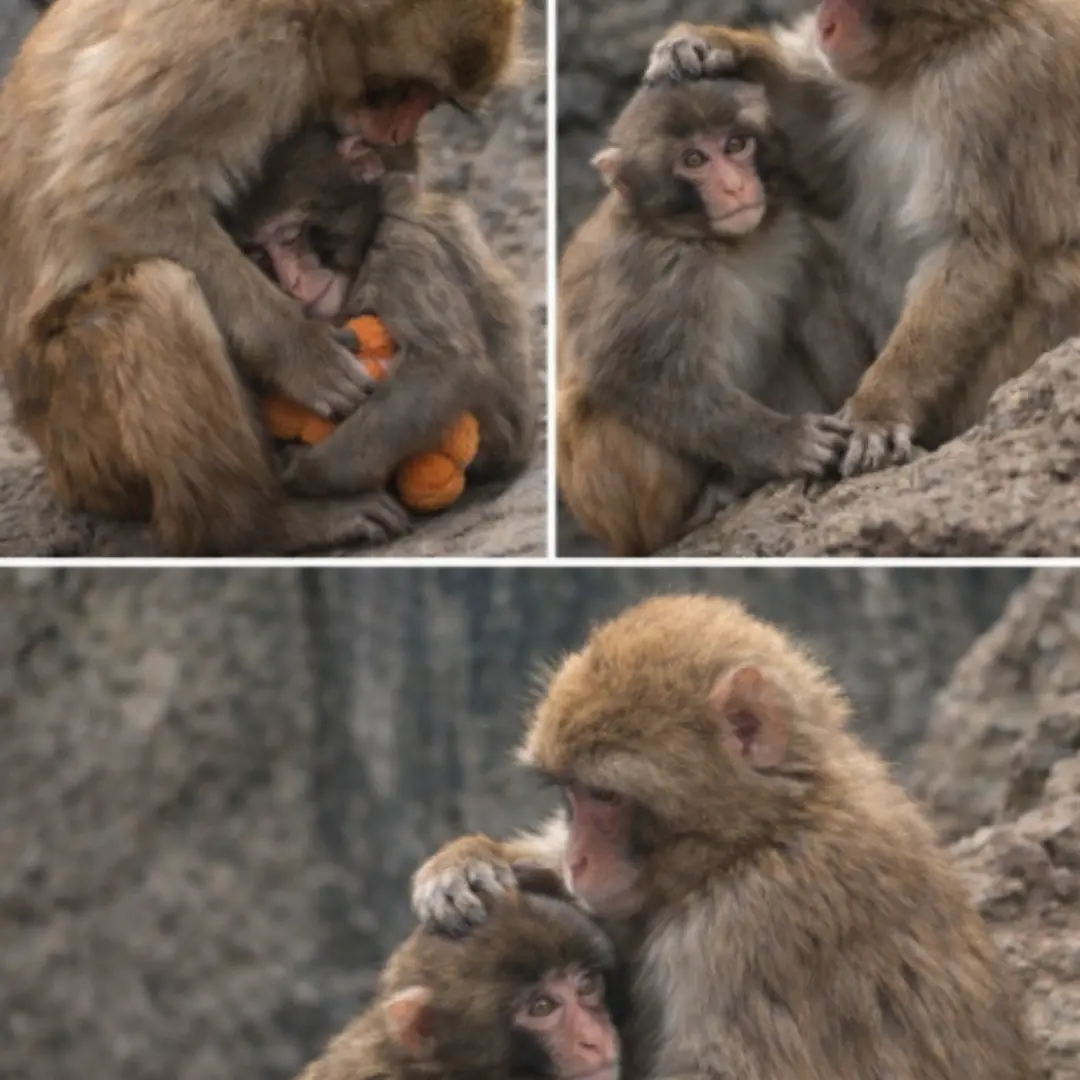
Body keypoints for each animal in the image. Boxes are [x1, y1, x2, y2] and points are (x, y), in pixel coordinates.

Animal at [228, 125, 537, 500]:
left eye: (289, 237)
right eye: (260, 256)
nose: (293, 281)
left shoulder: (401, 251)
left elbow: (444, 367)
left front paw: (305, 471)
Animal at [410, 595, 1039, 1080]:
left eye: (606, 796)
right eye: (571, 792)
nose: (578, 860)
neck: (760, 833)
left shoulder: (757, 923)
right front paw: (469, 864)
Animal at [556, 78, 872, 558]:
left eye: (736, 145)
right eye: (693, 160)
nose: (735, 186)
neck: (717, 242)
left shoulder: (794, 225)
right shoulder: (653, 271)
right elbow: (626, 372)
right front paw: (787, 442)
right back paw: (700, 508)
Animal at [644, 0, 1080, 478]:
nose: (826, 25)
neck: (942, 44)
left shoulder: (997, 83)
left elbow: (982, 244)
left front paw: (878, 409)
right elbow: (820, 155)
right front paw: (714, 45)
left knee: (1056, 277)